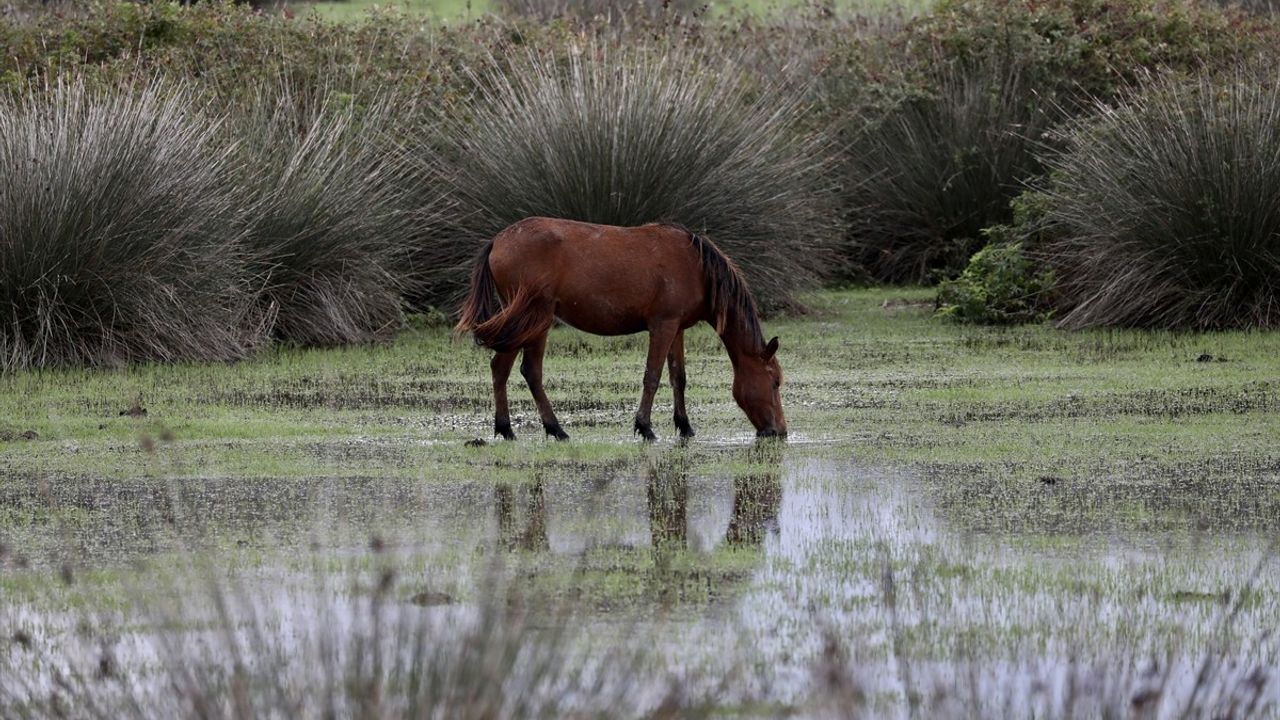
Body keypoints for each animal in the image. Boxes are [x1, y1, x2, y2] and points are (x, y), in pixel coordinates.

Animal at [455, 215, 783, 440]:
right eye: (775, 382)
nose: (779, 430)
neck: (697, 266)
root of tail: (498, 241)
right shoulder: (662, 325)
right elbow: (652, 376)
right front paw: (645, 426)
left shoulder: (677, 328)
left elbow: (678, 377)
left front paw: (685, 426)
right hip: (534, 319)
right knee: (524, 370)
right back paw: (548, 429)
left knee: (505, 369)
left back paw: (512, 428)